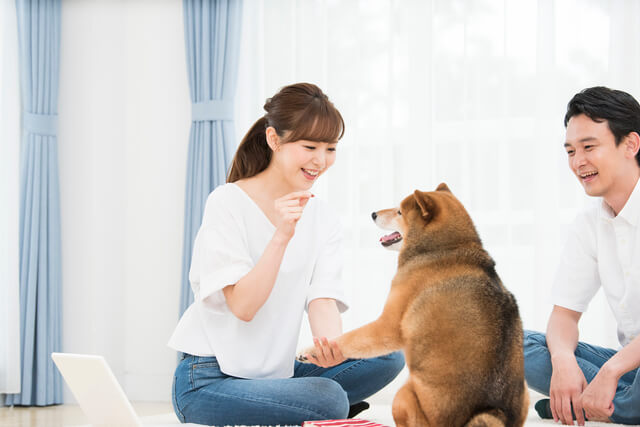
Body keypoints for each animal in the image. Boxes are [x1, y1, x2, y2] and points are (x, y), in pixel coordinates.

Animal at [298, 184, 528, 427]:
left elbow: (347, 338)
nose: (373, 214)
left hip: (402, 395)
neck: (447, 248)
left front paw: (309, 350)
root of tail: (490, 411)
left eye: (399, 212)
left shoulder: (387, 326)